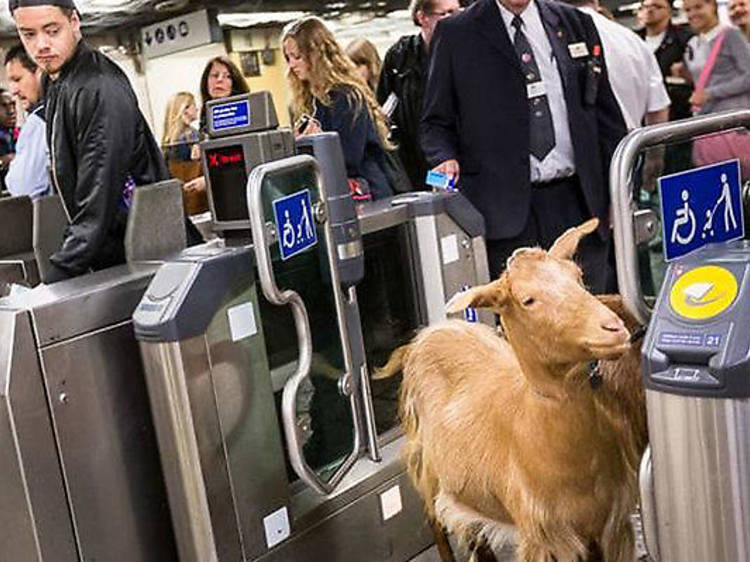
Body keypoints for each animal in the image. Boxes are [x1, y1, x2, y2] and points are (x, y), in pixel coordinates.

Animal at [382, 219, 648, 560]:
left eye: (578, 276)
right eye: (527, 300)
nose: (614, 329)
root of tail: (429, 333)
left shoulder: (612, 527)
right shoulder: (546, 537)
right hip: (426, 468)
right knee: (436, 520)